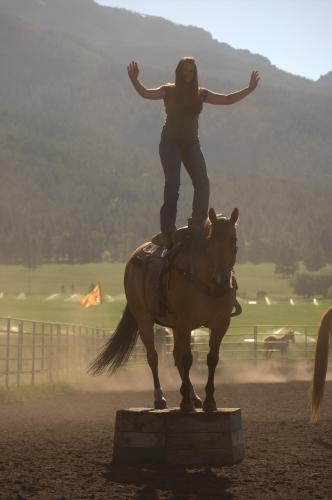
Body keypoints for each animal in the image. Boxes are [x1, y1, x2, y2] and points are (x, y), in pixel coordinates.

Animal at [89, 207, 240, 410]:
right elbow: (187, 358)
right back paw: (160, 397)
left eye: (233, 239)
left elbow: (211, 359)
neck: (206, 282)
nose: (222, 279)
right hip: (144, 320)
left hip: (174, 327)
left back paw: (194, 396)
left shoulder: (220, 324)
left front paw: (209, 401)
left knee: (175, 356)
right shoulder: (184, 323)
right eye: (210, 240)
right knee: (153, 356)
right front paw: (185, 403)